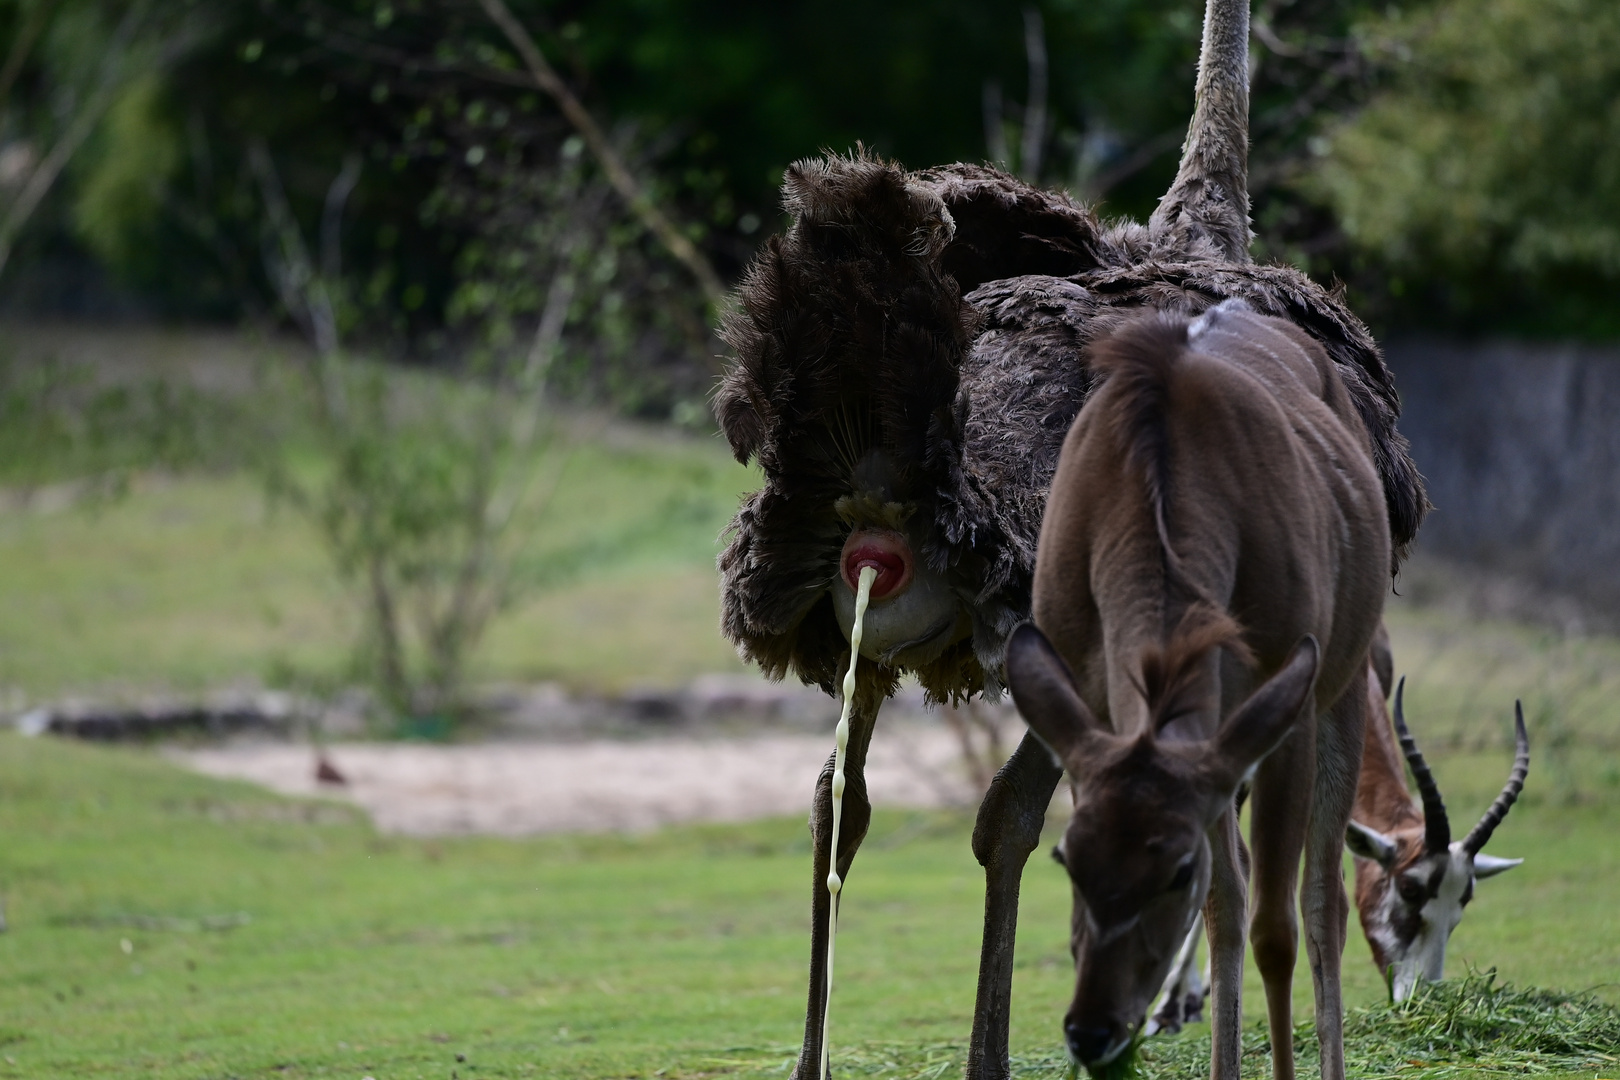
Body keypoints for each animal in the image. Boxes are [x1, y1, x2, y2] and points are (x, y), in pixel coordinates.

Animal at [1004, 297, 1386, 1080]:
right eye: (1068, 860)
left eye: (1176, 869)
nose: (1092, 1029)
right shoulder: (1098, 716)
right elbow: (1226, 907)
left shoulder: (1285, 710)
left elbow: (1274, 924)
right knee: (1239, 898)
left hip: (1344, 683)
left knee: (1321, 899)